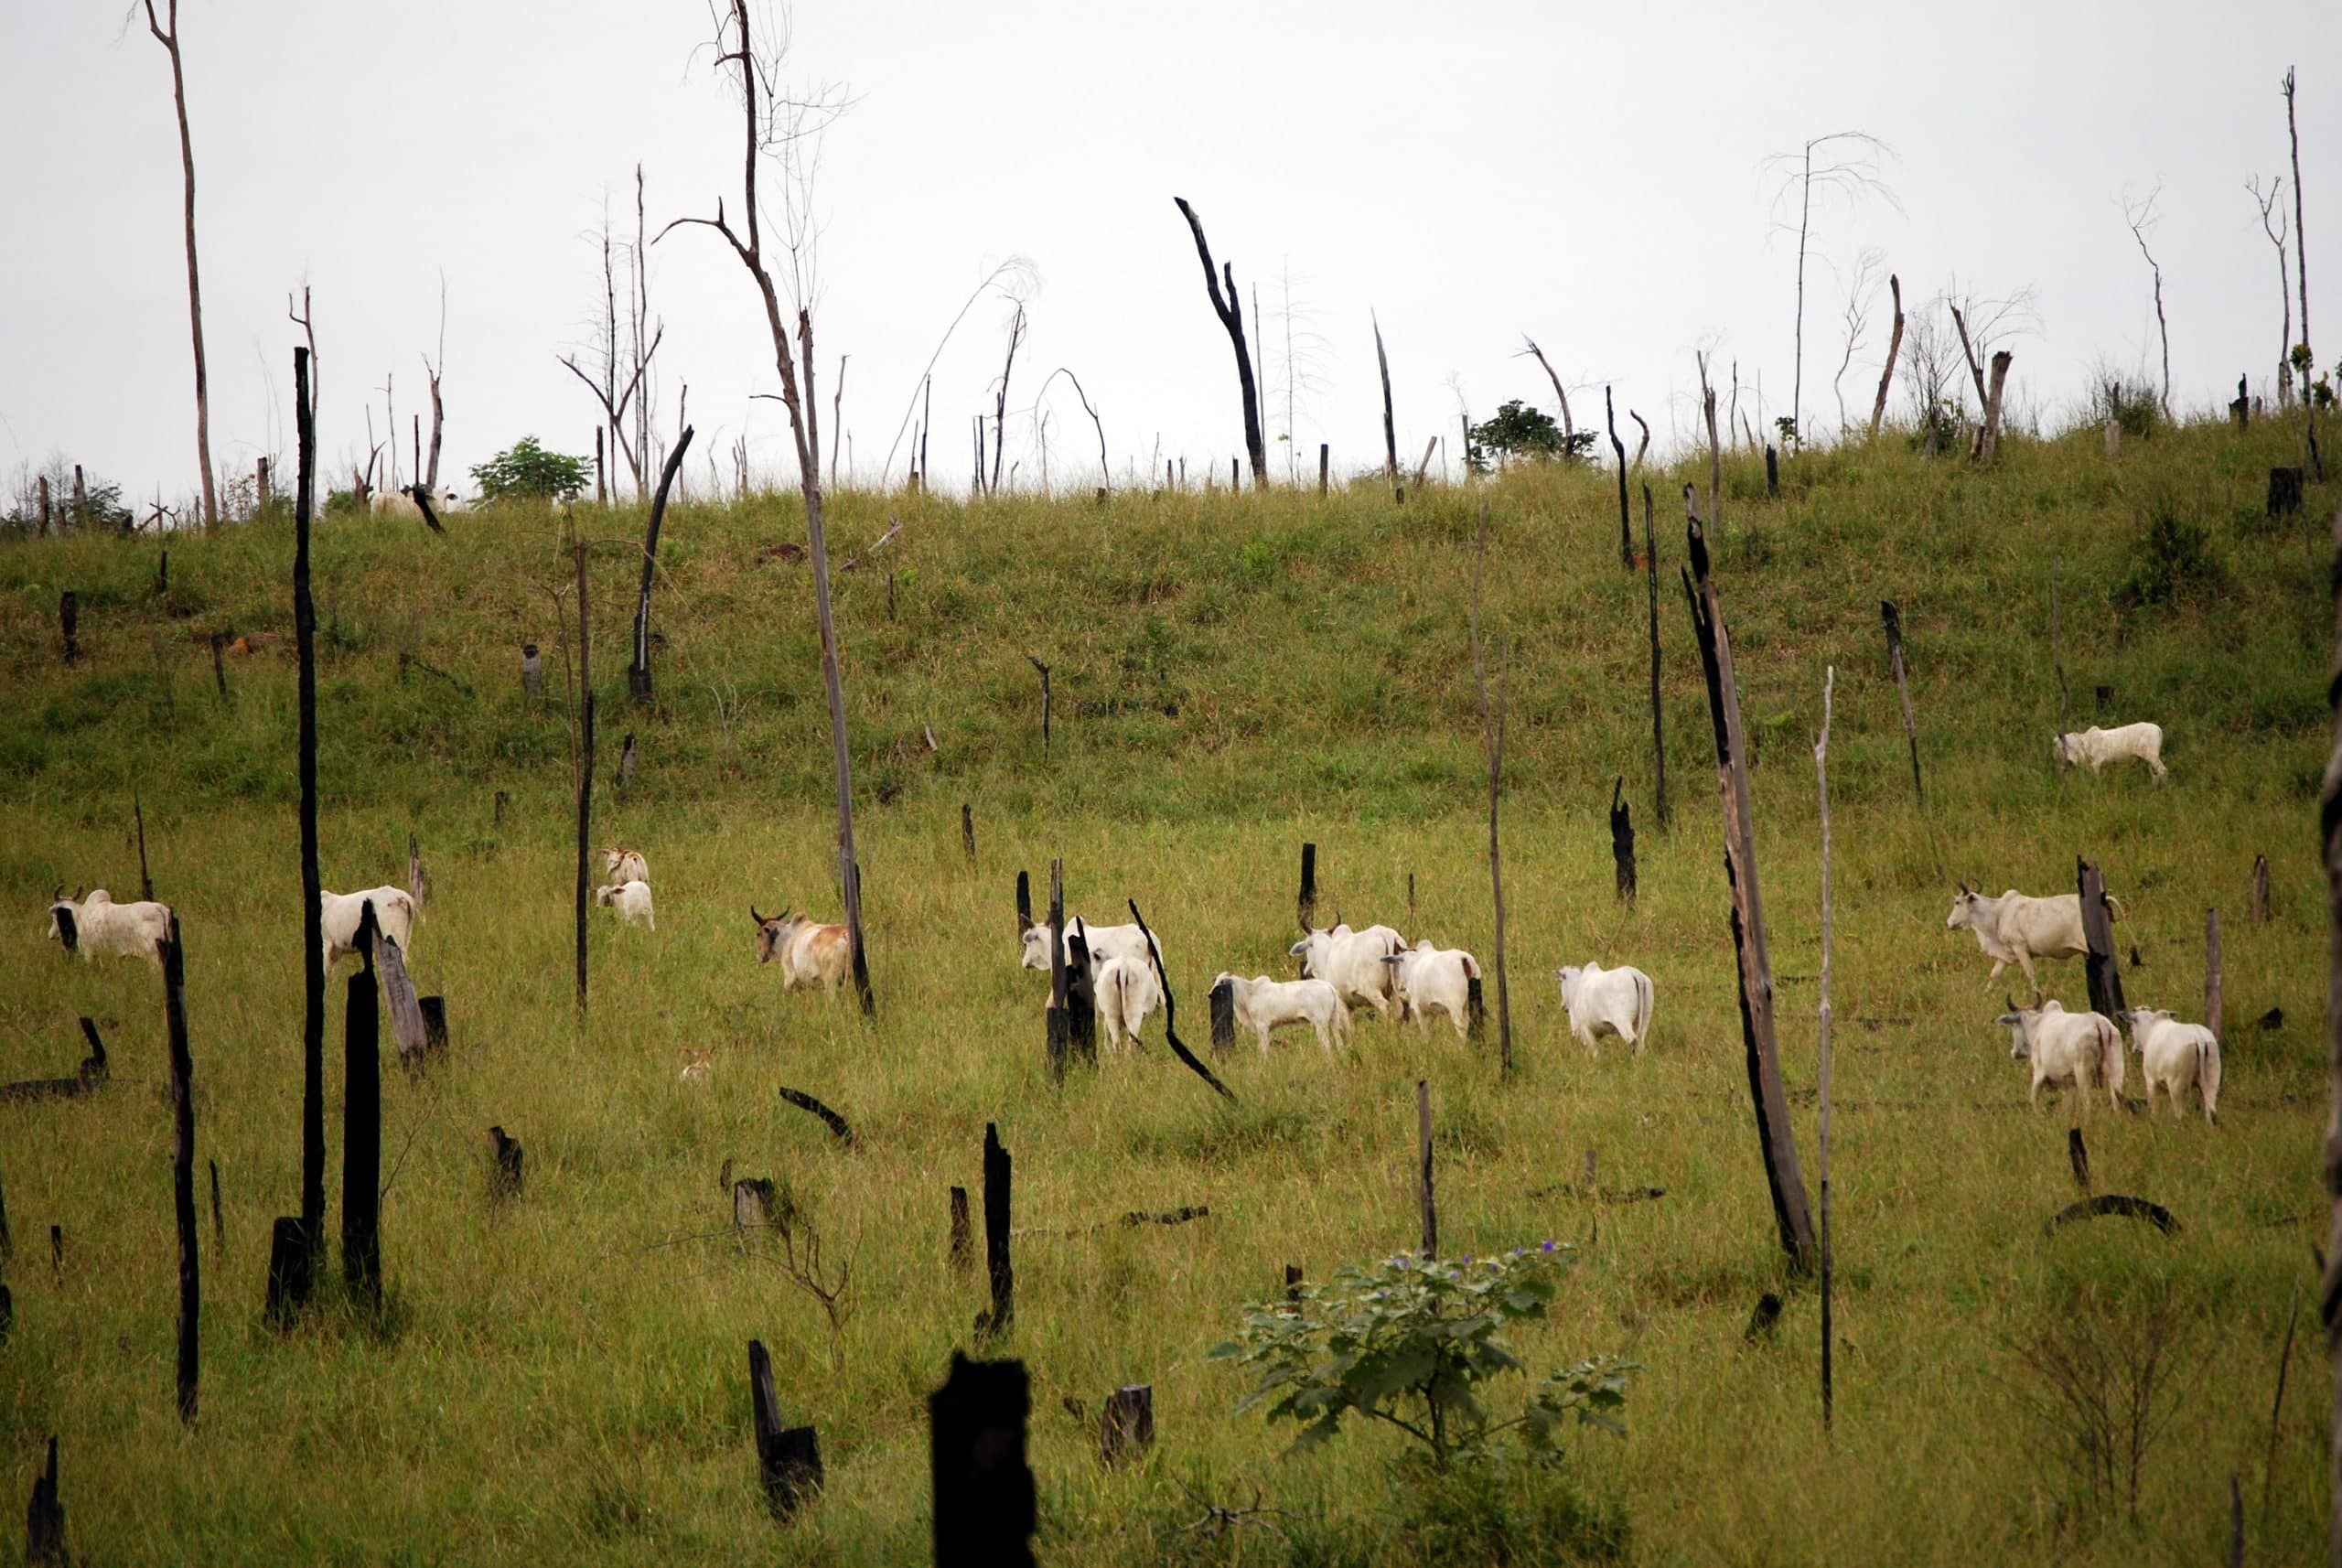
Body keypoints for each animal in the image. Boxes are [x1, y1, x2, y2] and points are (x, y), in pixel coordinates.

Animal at [1218, 969, 1348, 1058]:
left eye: (1222, 982)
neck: (1248, 994)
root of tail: (1328, 986)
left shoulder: (1262, 1026)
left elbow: (1263, 1049)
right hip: (1333, 1019)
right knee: (1339, 1042)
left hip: (1321, 1024)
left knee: (1326, 1046)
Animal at [1939, 885, 2126, 996]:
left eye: (1957, 902)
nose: (1948, 923)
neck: (1998, 913)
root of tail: (2103, 899)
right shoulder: (2005, 955)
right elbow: (1994, 974)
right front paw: (1985, 994)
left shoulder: (2020, 948)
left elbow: (2031, 974)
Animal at [1995, 1006, 2126, 1118]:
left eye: (2013, 1025)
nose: (2014, 1053)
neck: (2038, 1026)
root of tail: (2099, 1022)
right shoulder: (2068, 1083)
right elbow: (2066, 1105)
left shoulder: (2039, 1071)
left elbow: (2033, 1098)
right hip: (2117, 1069)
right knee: (2116, 1097)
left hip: (2082, 1072)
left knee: (2087, 1103)